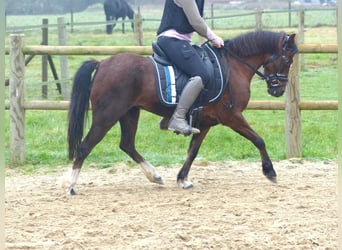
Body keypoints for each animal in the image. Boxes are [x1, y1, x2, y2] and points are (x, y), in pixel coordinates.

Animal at [62, 30, 298, 194]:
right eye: (287, 60)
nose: (278, 90)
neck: (234, 66)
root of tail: (102, 64)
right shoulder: (232, 117)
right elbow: (258, 140)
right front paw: (270, 171)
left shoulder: (204, 123)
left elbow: (192, 151)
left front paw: (182, 179)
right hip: (107, 115)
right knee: (85, 146)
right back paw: (71, 185)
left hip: (129, 113)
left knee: (127, 144)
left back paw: (155, 176)